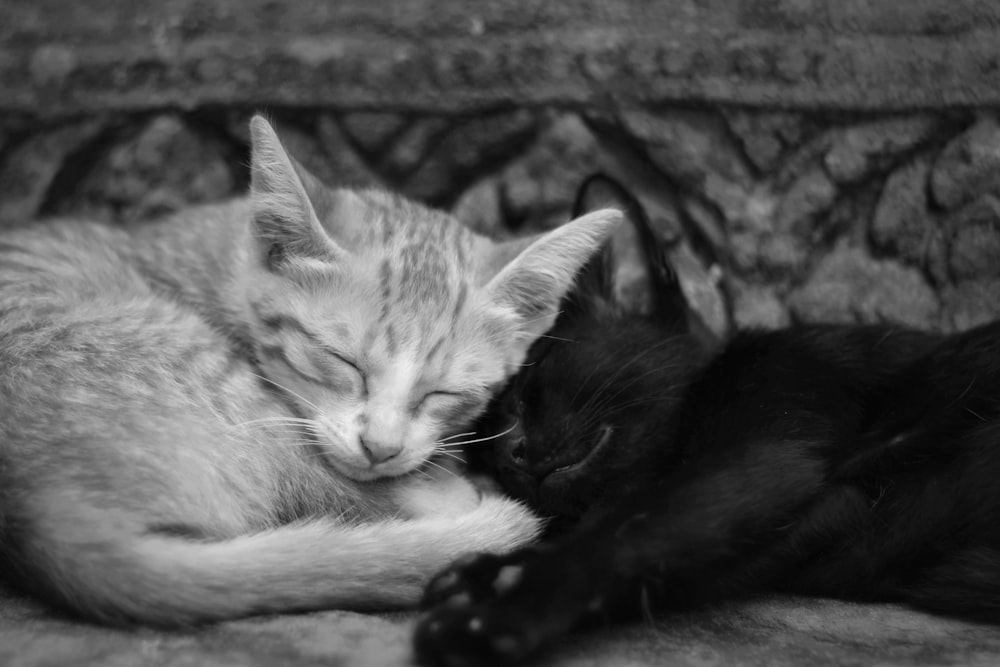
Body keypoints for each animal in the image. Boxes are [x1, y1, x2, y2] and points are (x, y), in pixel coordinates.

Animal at [414, 176, 1000, 667]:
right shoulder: (806, 529)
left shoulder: (766, 452)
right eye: (481, 433)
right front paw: (489, 573)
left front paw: (491, 615)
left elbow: (629, 531)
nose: (513, 451)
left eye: (523, 391)